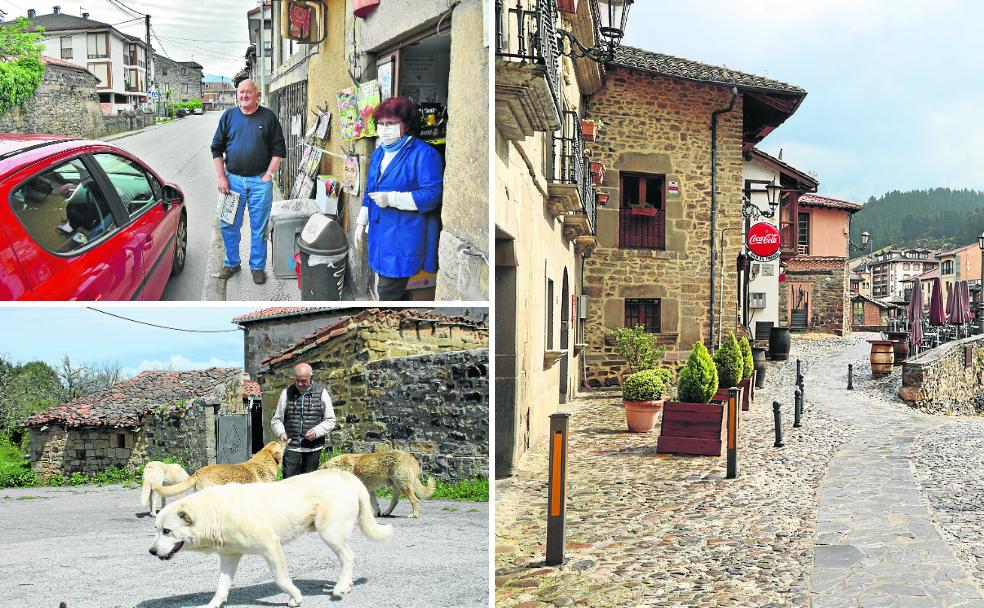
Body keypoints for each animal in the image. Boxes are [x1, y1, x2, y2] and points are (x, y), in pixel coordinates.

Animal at [148, 468, 394, 604]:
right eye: (156, 529)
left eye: (167, 531)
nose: (151, 551)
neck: (215, 513)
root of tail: (348, 477)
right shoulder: (229, 557)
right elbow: (221, 586)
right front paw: (213, 604)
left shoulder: (271, 546)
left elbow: (281, 579)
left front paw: (295, 597)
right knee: (347, 557)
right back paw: (347, 584)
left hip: (329, 532)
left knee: (349, 557)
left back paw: (340, 587)